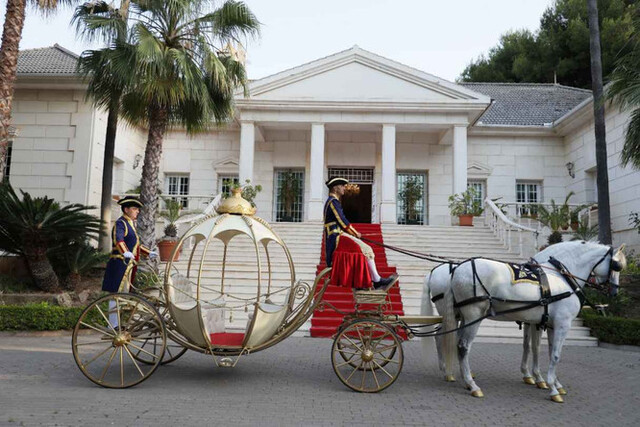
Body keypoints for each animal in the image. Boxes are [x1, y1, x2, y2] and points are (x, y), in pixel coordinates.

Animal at [436, 242, 624, 402]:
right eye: (616, 266)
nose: (615, 292)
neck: (561, 278)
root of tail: (457, 270)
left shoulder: (550, 325)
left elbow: (546, 351)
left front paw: (553, 382)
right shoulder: (562, 325)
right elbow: (555, 355)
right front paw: (552, 388)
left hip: (462, 317)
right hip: (473, 316)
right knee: (463, 346)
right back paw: (472, 384)